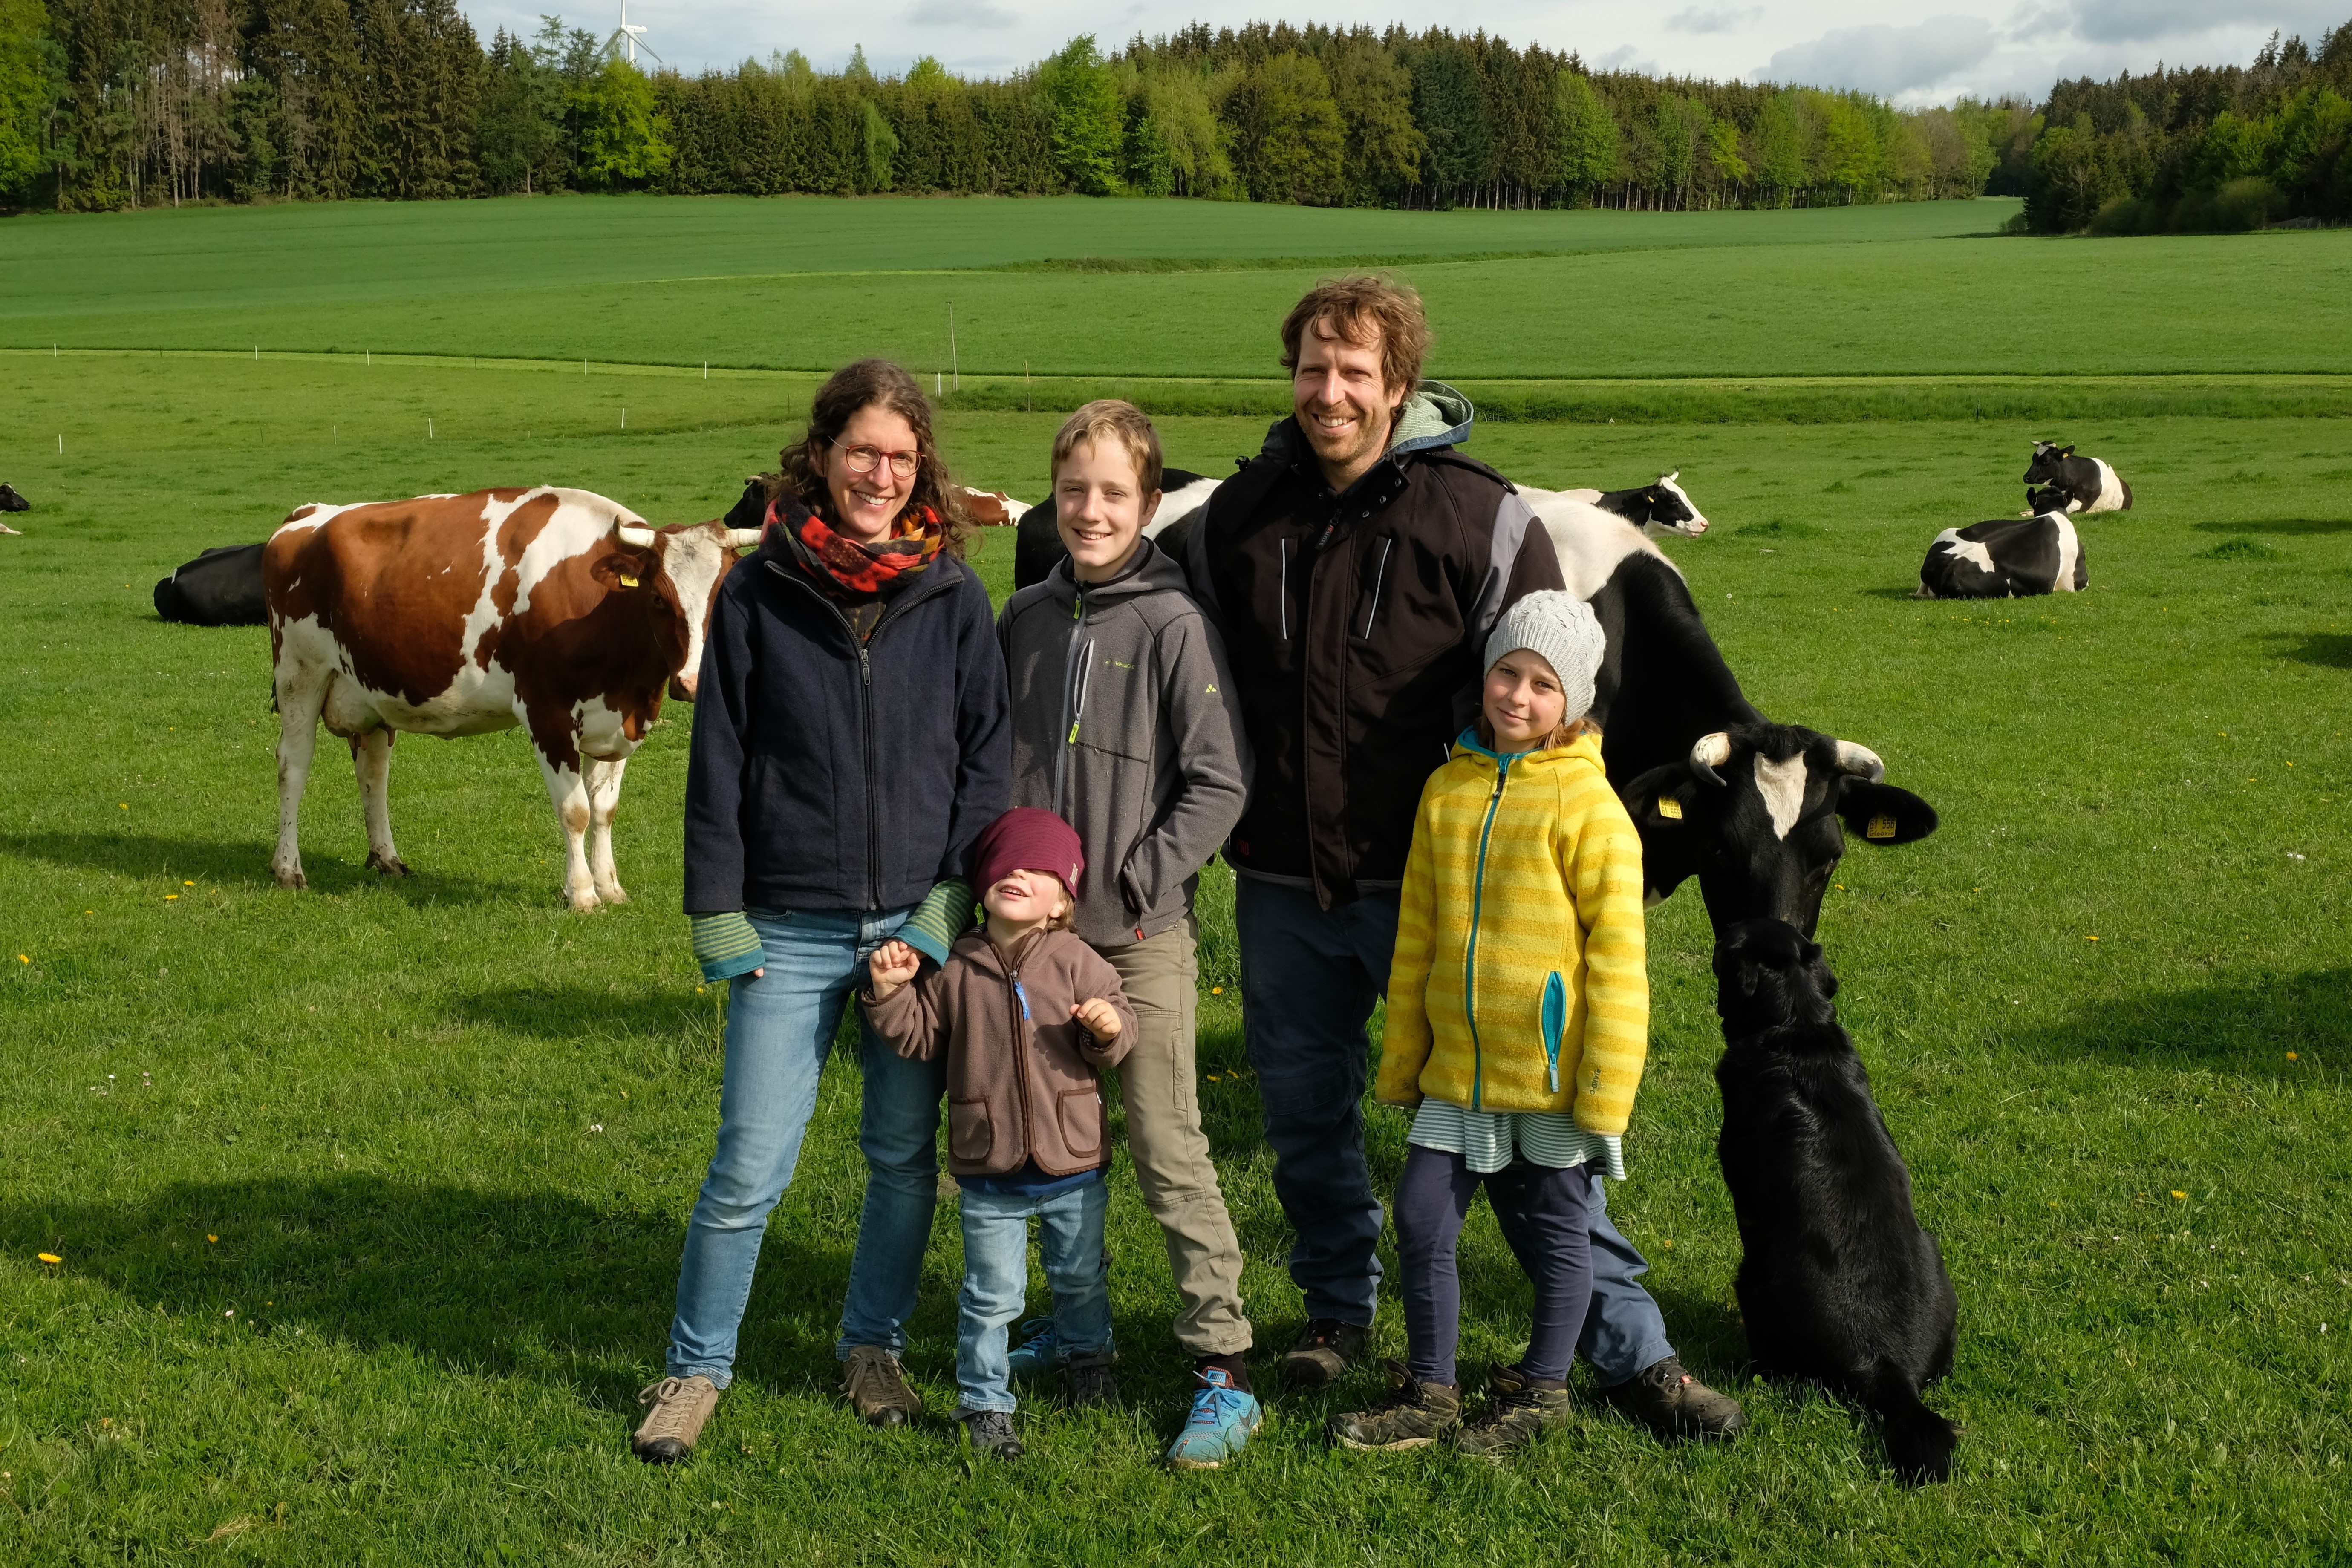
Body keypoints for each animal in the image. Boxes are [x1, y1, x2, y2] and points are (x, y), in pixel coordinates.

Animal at [270, 487, 757, 907]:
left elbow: (604, 810)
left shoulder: (622, 719)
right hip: (299, 673)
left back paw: (387, 859)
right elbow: (575, 811)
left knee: (373, 772)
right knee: (293, 766)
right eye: (658, 597)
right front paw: (582, 895)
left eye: (722, 592)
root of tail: (309, 514)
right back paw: (288, 869)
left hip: (370, 692)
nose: (692, 682)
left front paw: (611, 887)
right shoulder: (547, 712)